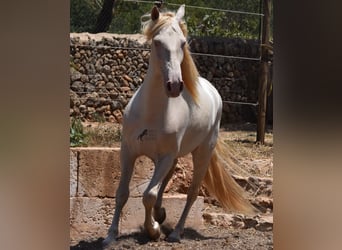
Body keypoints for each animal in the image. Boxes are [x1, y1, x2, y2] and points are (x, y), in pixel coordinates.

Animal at [103, 4, 255, 247]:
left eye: (183, 43)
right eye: (157, 42)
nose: (174, 85)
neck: (152, 113)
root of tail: (212, 90)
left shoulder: (165, 156)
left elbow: (148, 195)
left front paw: (153, 231)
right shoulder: (128, 152)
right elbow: (122, 193)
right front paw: (110, 236)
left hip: (201, 153)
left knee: (191, 193)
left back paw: (175, 232)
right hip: (171, 157)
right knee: (165, 182)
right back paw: (161, 214)